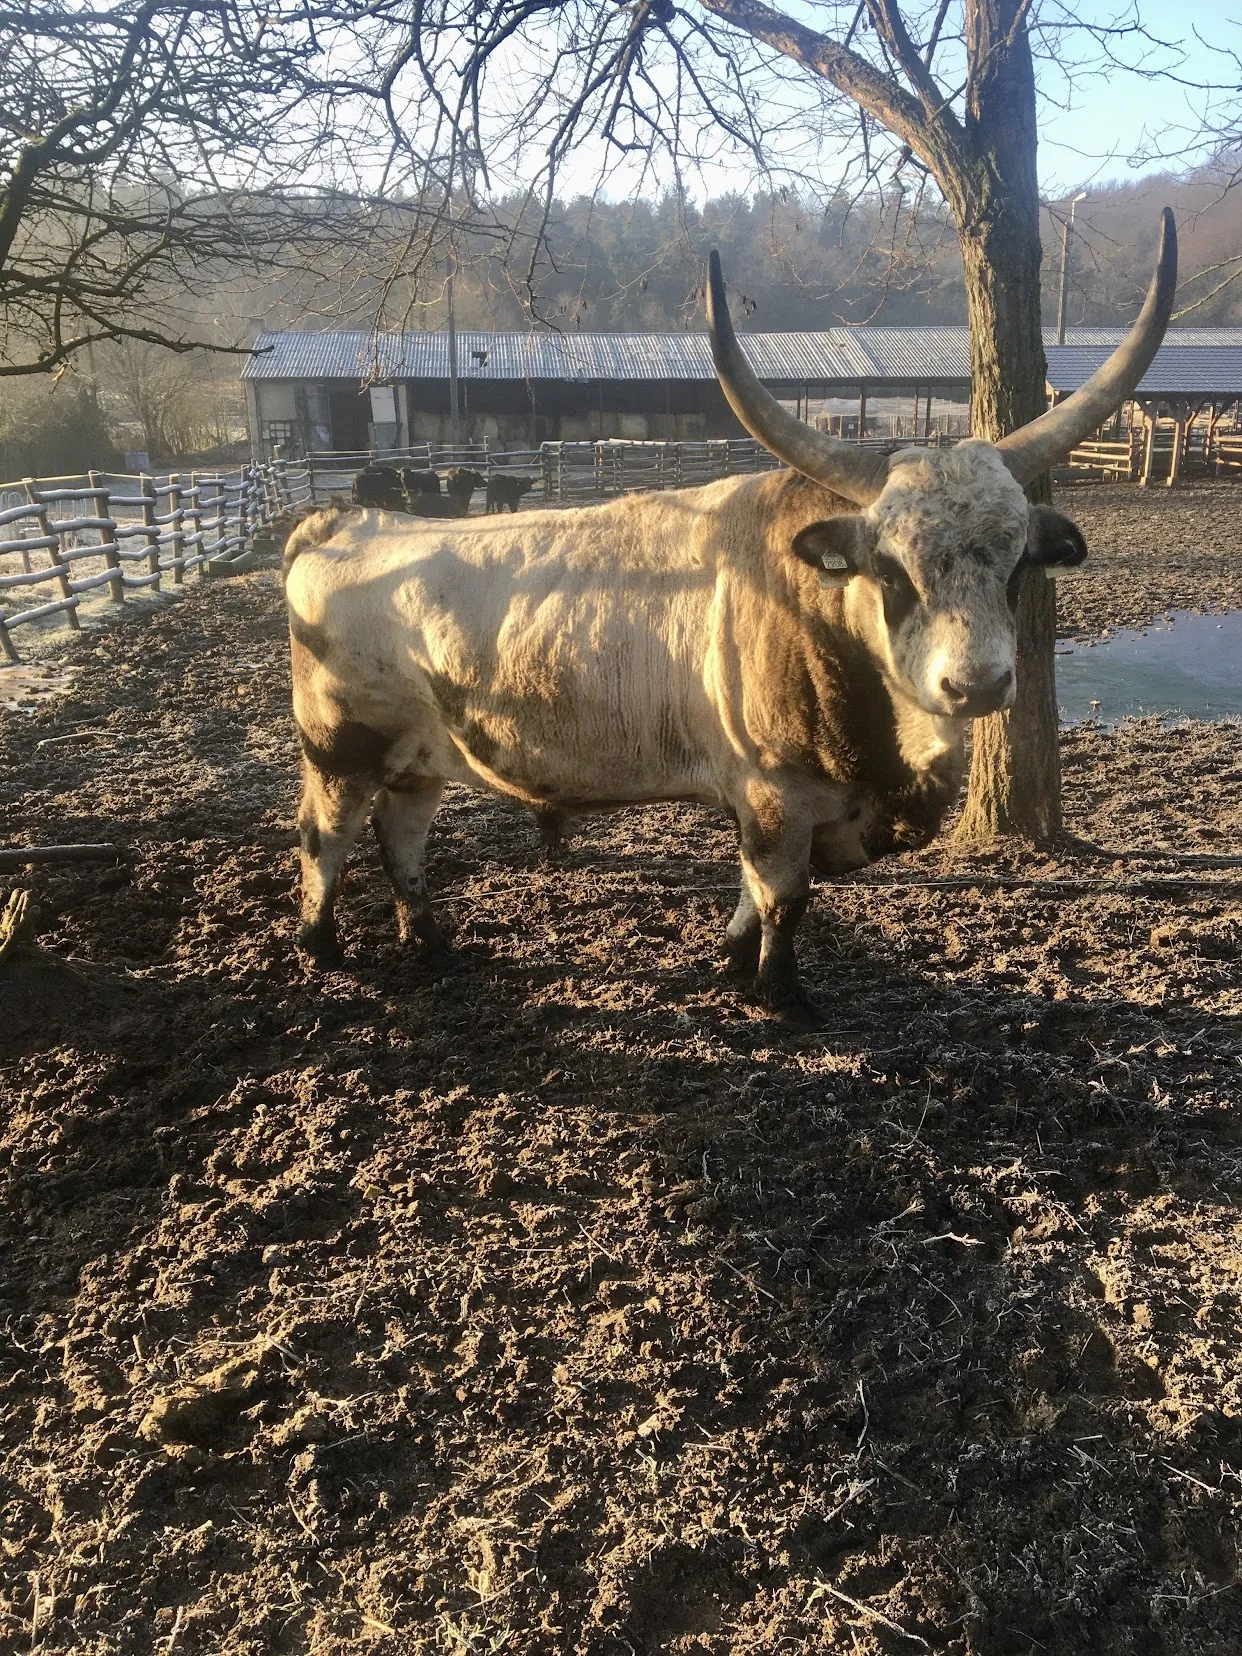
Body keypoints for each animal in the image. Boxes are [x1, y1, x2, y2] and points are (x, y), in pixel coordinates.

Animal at [285, 212, 1176, 1021]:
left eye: (1019, 562)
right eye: (890, 570)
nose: (977, 685)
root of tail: (341, 523)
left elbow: (750, 891)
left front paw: (731, 960)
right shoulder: (776, 796)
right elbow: (784, 895)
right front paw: (780, 994)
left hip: (417, 758)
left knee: (401, 835)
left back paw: (428, 940)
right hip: (340, 752)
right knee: (326, 837)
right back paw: (322, 948)